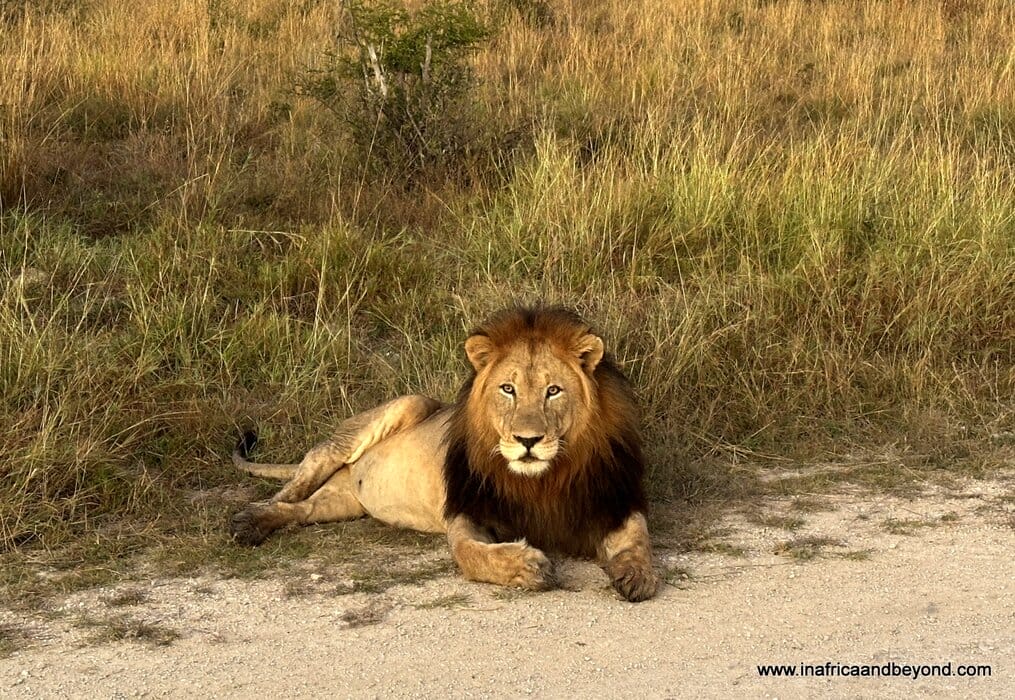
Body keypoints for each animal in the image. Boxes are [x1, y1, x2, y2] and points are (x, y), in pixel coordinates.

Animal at [230, 307, 659, 602]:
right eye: (508, 389)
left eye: (553, 391)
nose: (528, 440)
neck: (545, 480)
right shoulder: (467, 512)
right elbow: (471, 554)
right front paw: (528, 566)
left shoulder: (612, 502)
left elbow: (639, 538)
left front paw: (637, 574)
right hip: (403, 407)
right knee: (298, 480)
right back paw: (248, 520)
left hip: (343, 501)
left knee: (302, 509)